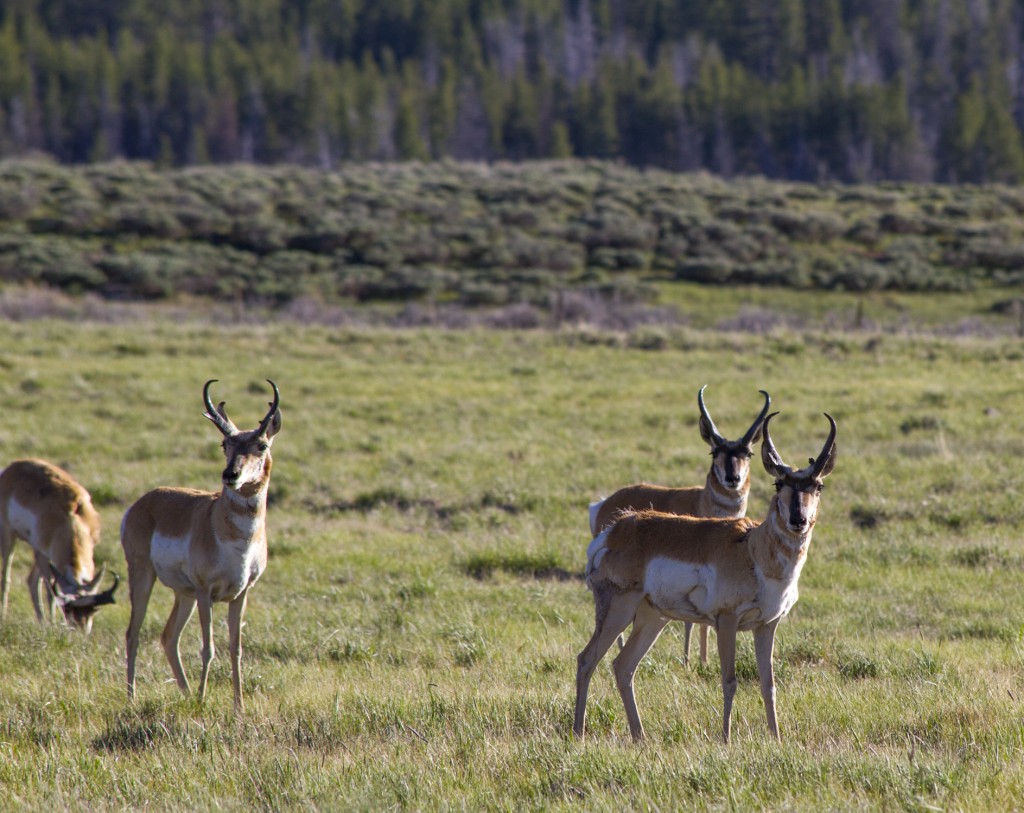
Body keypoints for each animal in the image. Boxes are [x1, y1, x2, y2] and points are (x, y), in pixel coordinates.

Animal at [0, 458, 117, 630]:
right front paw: (53, 623)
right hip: (10, 538)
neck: (71, 520)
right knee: (7, 578)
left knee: (32, 580)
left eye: (92, 610)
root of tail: (13, 467)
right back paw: (5, 616)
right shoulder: (44, 553)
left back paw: (41, 621)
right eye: (68, 609)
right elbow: (51, 592)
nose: (81, 631)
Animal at [122, 376, 282, 704]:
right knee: (134, 633)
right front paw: (203, 699)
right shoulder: (207, 591)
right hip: (145, 576)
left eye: (261, 444)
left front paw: (238, 706)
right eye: (225, 444)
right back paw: (133, 698)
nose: (230, 474)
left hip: (185, 594)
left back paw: (185, 694)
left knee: (169, 637)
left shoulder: (241, 594)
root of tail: (144, 501)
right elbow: (208, 648)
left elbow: (236, 650)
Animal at [585, 387, 770, 663]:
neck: (703, 502)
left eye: (747, 453)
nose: (732, 478)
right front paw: (688, 660)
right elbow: (691, 620)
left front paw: (702, 659)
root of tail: (603, 504)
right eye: (715, 452)